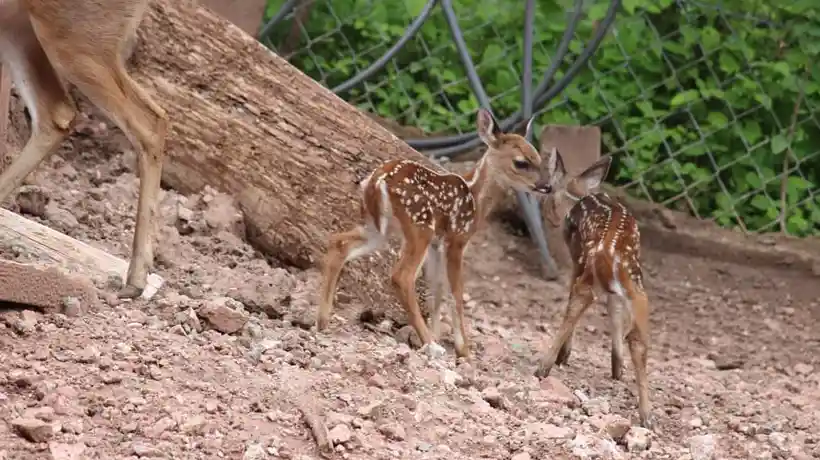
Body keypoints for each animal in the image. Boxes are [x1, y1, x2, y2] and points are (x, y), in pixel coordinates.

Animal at [318, 108, 544, 360]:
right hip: (419, 227)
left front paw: (437, 334)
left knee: (339, 242)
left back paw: (322, 320)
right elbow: (456, 291)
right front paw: (463, 349)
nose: (547, 186)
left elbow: (437, 288)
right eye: (521, 162)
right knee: (402, 276)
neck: (476, 199)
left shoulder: (438, 244)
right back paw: (431, 345)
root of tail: (376, 183)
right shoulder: (457, 238)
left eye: (539, 159)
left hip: (376, 227)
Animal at [532, 149, 652, 430]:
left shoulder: (576, 260)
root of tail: (612, 255)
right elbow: (615, 316)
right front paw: (617, 370)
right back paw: (646, 416)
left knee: (576, 304)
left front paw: (564, 356)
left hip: (587, 273)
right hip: (639, 291)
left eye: (548, 187)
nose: (546, 213)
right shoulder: (617, 293)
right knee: (637, 340)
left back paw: (544, 366)